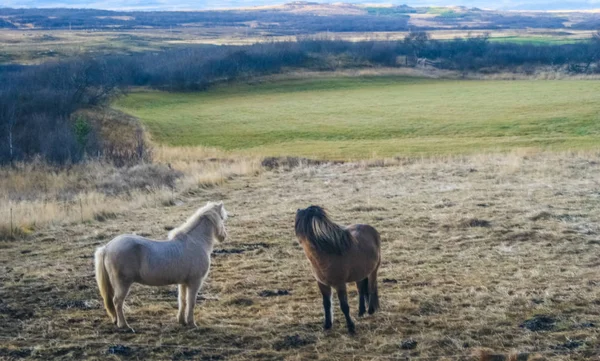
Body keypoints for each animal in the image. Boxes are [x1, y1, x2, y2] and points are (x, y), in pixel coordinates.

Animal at [94, 200, 227, 330]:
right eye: (222, 218)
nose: (224, 236)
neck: (195, 242)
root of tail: (107, 248)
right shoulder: (195, 282)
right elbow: (191, 302)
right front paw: (191, 323)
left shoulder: (184, 283)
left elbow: (182, 300)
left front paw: (182, 321)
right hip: (122, 284)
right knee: (117, 302)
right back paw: (124, 325)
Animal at [294, 204, 380, 334]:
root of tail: (371, 228)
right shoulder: (322, 284)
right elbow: (326, 304)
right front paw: (327, 325)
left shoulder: (340, 285)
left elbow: (344, 306)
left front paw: (351, 327)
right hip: (360, 273)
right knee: (361, 289)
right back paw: (361, 312)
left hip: (373, 270)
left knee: (371, 287)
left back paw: (371, 310)